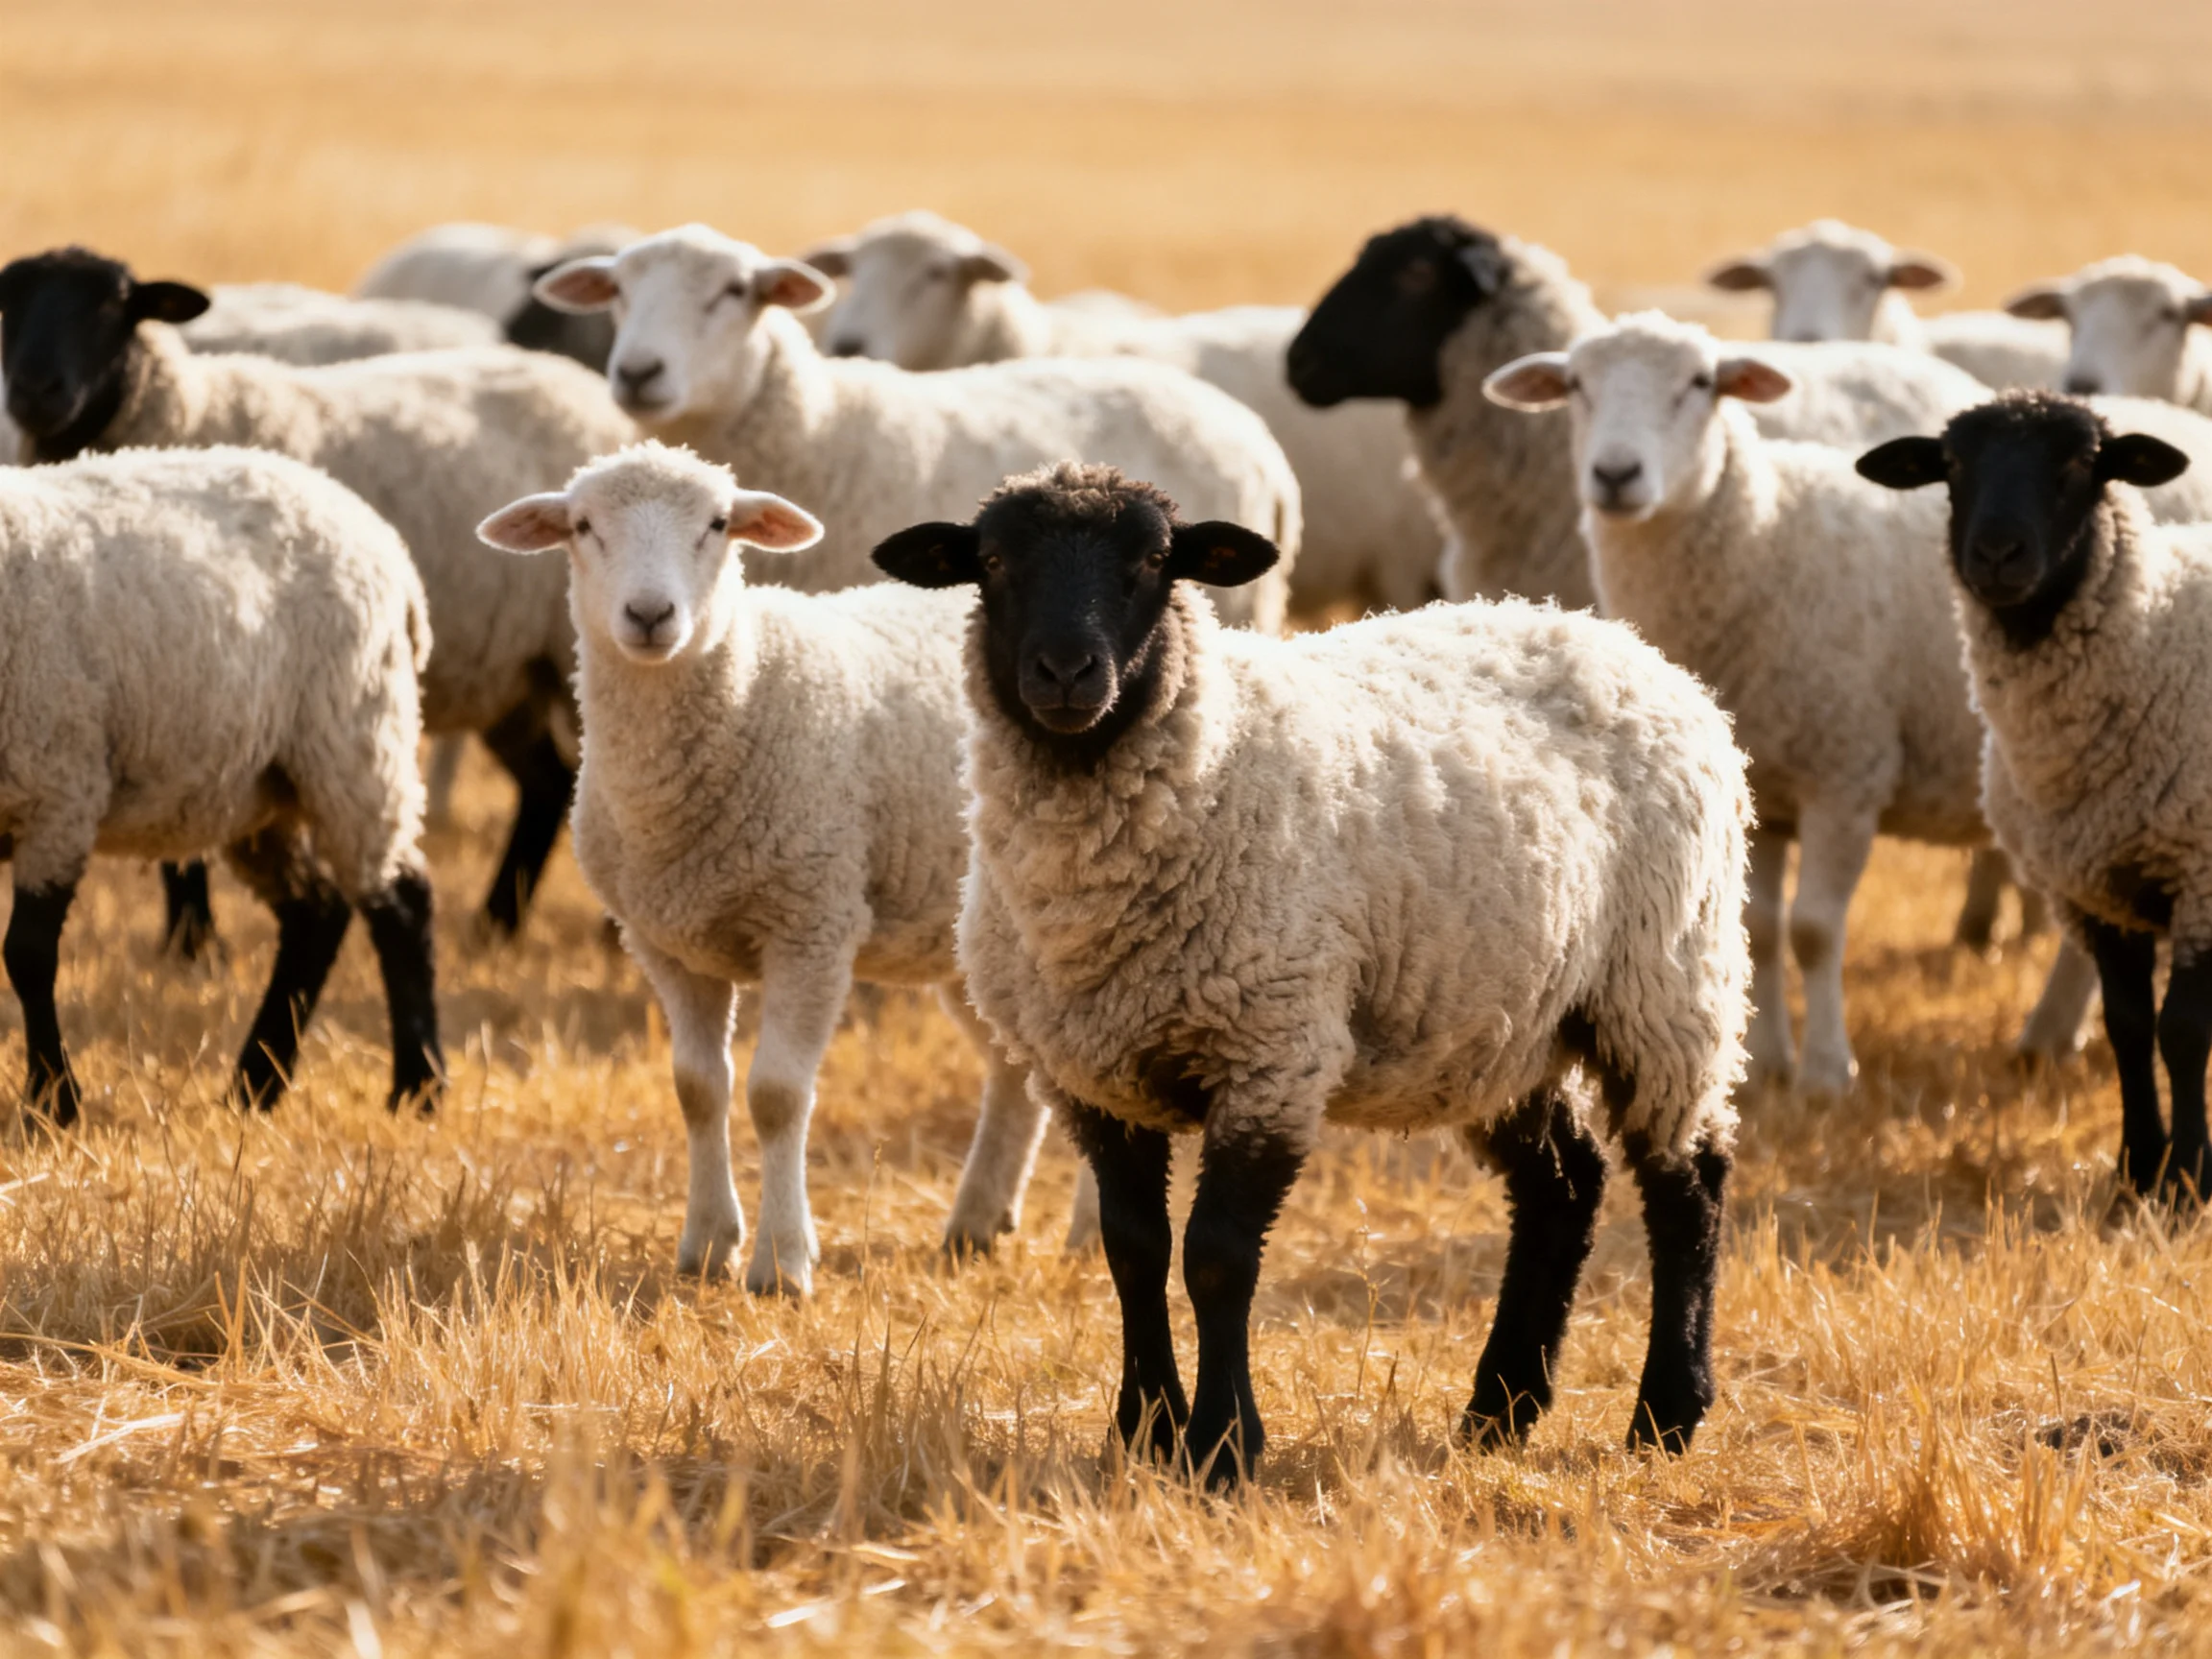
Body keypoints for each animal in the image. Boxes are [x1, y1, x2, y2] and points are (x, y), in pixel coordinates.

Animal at [0, 445, 443, 1122]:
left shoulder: (59, 793)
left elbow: (27, 955)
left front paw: (55, 1101)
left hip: (356, 738)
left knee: (400, 903)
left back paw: (417, 1087)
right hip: (258, 791)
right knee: (318, 911)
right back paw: (255, 1084)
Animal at [477, 443, 1088, 1291]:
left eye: (717, 524)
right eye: (583, 527)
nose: (650, 616)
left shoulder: (812, 924)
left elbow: (775, 1095)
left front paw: (781, 1262)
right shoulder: (665, 944)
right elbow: (698, 1090)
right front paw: (706, 1245)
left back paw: (1087, 1234)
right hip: (966, 937)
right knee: (1011, 1070)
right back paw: (977, 1222)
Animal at [871, 461, 1751, 1485]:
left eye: (1154, 562)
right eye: (995, 562)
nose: (1066, 673)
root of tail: (1623, 643)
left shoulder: (1272, 1052)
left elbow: (1215, 1258)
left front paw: (1223, 1447)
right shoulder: (1092, 1076)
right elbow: (1133, 1252)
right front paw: (1145, 1431)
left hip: (1665, 979)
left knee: (1687, 1182)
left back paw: (1667, 1411)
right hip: (1503, 1017)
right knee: (1562, 1189)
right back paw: (1499, 1410)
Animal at [1483, 312, 2110, 1091]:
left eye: (1701, 382)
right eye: (1574, 384)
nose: (1616, 476)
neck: (1767, 538)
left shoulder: (1846, 772)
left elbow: (1813, 930)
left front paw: (1826, 1073)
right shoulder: (1766, 788)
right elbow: (1762, 931)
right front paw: (1767, 1064)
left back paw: (2054, 1033)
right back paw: (2055, 1036)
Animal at [1858, 394, 2212, 1203]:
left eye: (2081, 463)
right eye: (1952, 464)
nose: (1995, 554)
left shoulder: (2201, 873)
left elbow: (2183, 1030)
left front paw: (2187, 1180)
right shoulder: (2094, 886)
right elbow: (2128, 1027)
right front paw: (2134, 1174)